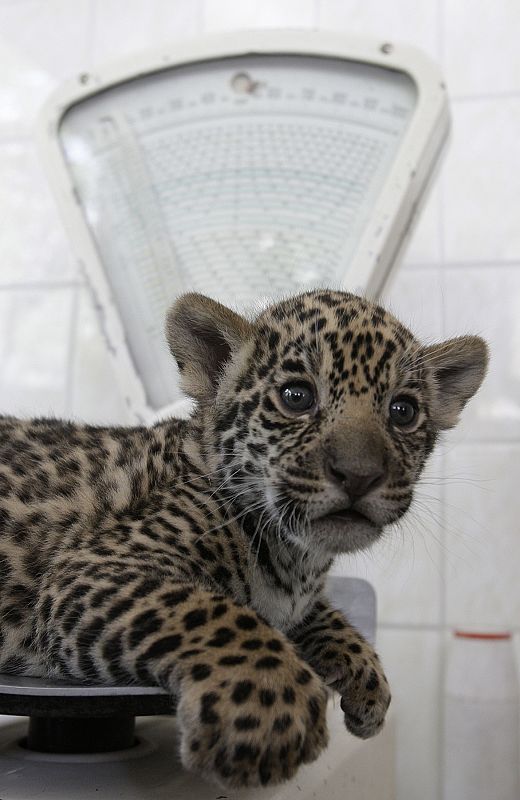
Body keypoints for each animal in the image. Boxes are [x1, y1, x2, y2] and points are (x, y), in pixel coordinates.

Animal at [0, 288, 488, 788]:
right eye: (297, 397)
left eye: (402, 411)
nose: (359, 475)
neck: (297, 558)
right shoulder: (93, 567)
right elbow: (209, 611)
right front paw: (271, 711)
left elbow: (319, 614)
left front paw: (368, 680)